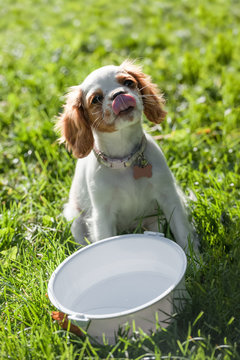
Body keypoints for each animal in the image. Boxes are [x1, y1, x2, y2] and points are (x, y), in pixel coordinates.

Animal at [56, 60, 199, 255]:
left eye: (128, 82)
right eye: (96, 99)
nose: (119, 94)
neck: (125, 160)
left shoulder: (169, 196)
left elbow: (183, 232)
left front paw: (195, 260)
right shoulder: (103, 215)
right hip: (75, 219)